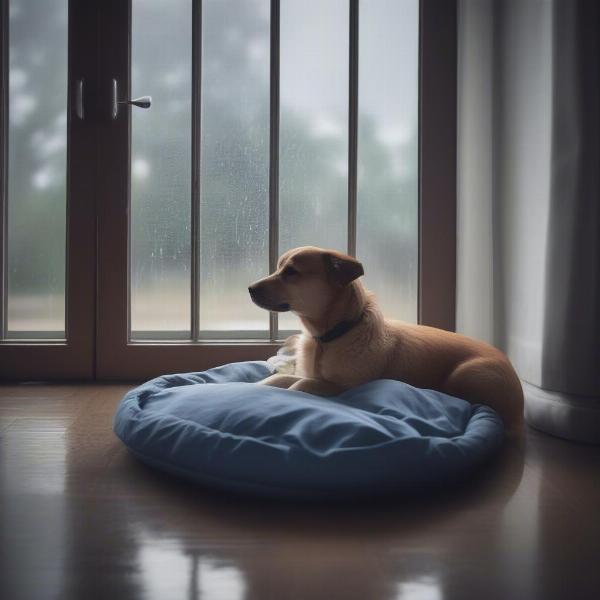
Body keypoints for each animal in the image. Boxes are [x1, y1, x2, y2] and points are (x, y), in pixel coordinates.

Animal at [246, 246, 524, 428]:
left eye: (291, 272)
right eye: (279, 268)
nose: (249, 288)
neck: (331, 336)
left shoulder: (342, 386)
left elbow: (299, 386)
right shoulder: (310, 375)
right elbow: (276, 380)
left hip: (464, 374)